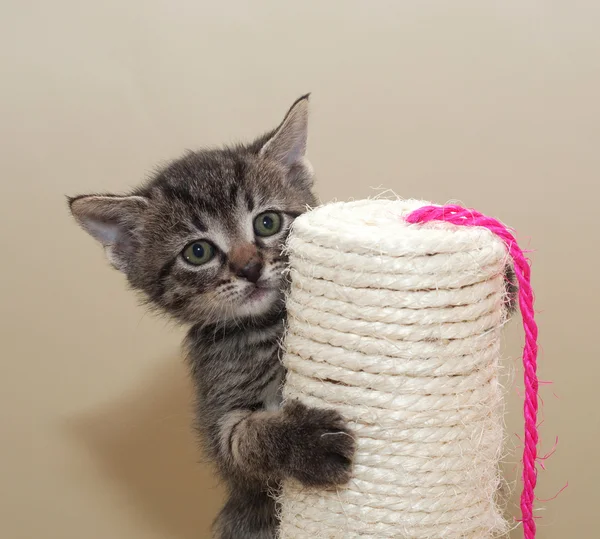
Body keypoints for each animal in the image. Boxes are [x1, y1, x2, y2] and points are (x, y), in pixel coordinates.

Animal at [69, 97, 356, 539]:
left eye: (267, 222)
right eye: (198, 252)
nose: (249, 267)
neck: (266, 329)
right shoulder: (220, 422)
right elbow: (242, 441)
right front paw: (309, 440)